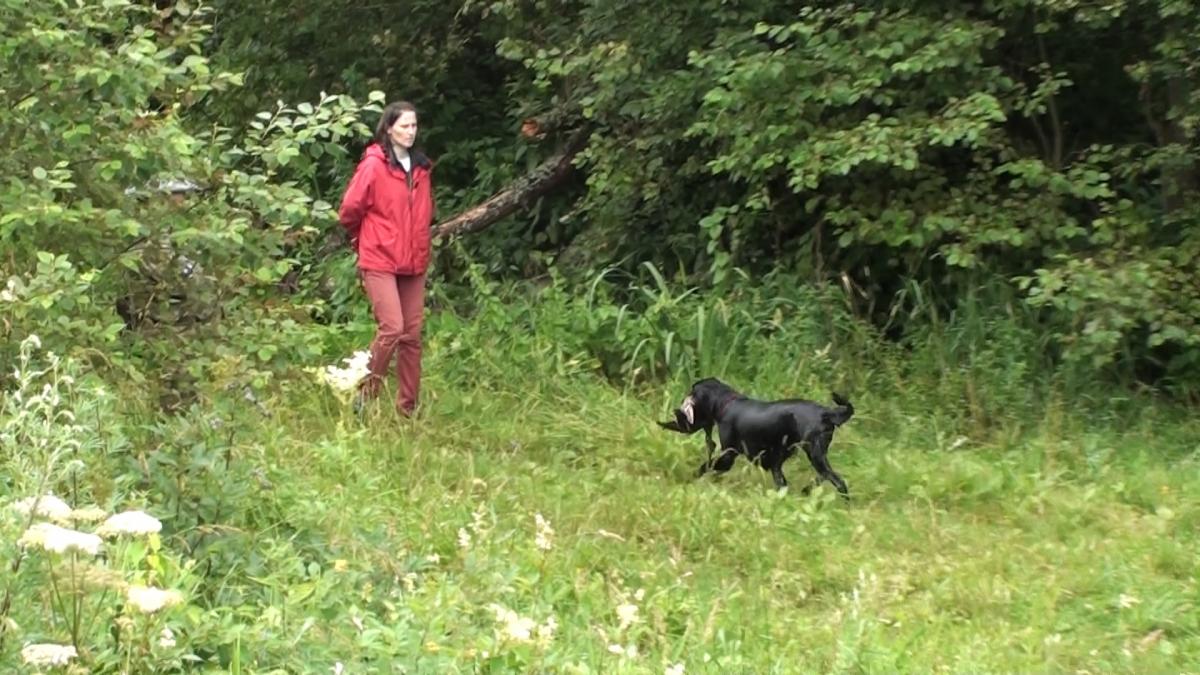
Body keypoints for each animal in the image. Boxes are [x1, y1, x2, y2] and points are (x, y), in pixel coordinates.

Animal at [659, 377, 855, 497]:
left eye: (693, 390)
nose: (682, 401)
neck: (726, 403)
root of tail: (826, 412)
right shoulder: (775, 460)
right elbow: (781, 480)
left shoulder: (728, 455)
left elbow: (706, 465)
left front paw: (690, 477)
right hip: (817, 454)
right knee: (826, 475)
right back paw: (807, 490)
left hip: (815, 453)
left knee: (837, 480)